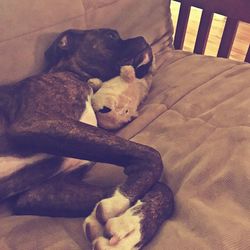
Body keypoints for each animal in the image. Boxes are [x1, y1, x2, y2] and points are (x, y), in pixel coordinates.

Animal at [0, 29, 174, 250]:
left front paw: (132, 227)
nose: (143, 38)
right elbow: (151, 155)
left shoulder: (40, 192)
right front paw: (118, 203)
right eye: (111, 35)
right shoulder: (36, 122)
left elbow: (163, 188)